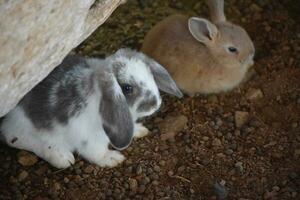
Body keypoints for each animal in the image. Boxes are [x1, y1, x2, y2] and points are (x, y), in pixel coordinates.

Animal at [0, 48, 182, 169]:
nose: (156, 104)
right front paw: (112, 159)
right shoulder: (89, 137)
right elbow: (97, 152)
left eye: (150, 75)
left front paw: (139, 130)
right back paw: (61, 156)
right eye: (127, 88)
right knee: (14, 137)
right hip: (22, 126)